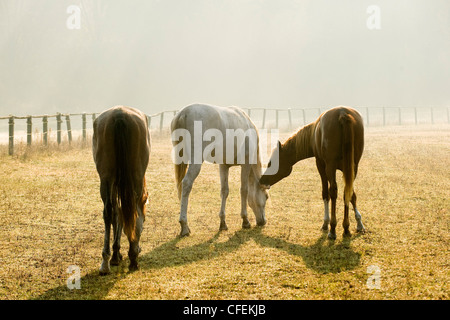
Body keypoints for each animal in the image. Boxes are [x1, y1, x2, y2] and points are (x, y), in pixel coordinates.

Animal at [92, 105, 151, 276]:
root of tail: (120, 114)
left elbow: (117, 213)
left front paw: (116, 254)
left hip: (106, 177)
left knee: (109, 211)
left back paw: (105, 262)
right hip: (134, 176)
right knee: (133, 211)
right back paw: (133, 257)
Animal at [171, 104, 268, 236]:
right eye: (266, 197)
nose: (263, 221)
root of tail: (184, 113)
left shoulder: (223, 166)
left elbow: (224, 191)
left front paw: (223, 223)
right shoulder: (246, 164)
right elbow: (244, 190)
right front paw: (245, 220)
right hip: (196, 162)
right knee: (186, 184)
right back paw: (184, 225)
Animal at [260, 106, 366, 239]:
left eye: (271, 163)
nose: (261, 180)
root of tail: (342, 113)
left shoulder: (321, 165)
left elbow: (325, 193)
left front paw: (326, 223)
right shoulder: (349, 169)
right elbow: (352, 195)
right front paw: (359, 223)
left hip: (330, 167)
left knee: (333, 191)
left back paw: (333, 229)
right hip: (352, 166)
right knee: (347, 190)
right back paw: (346, 228)